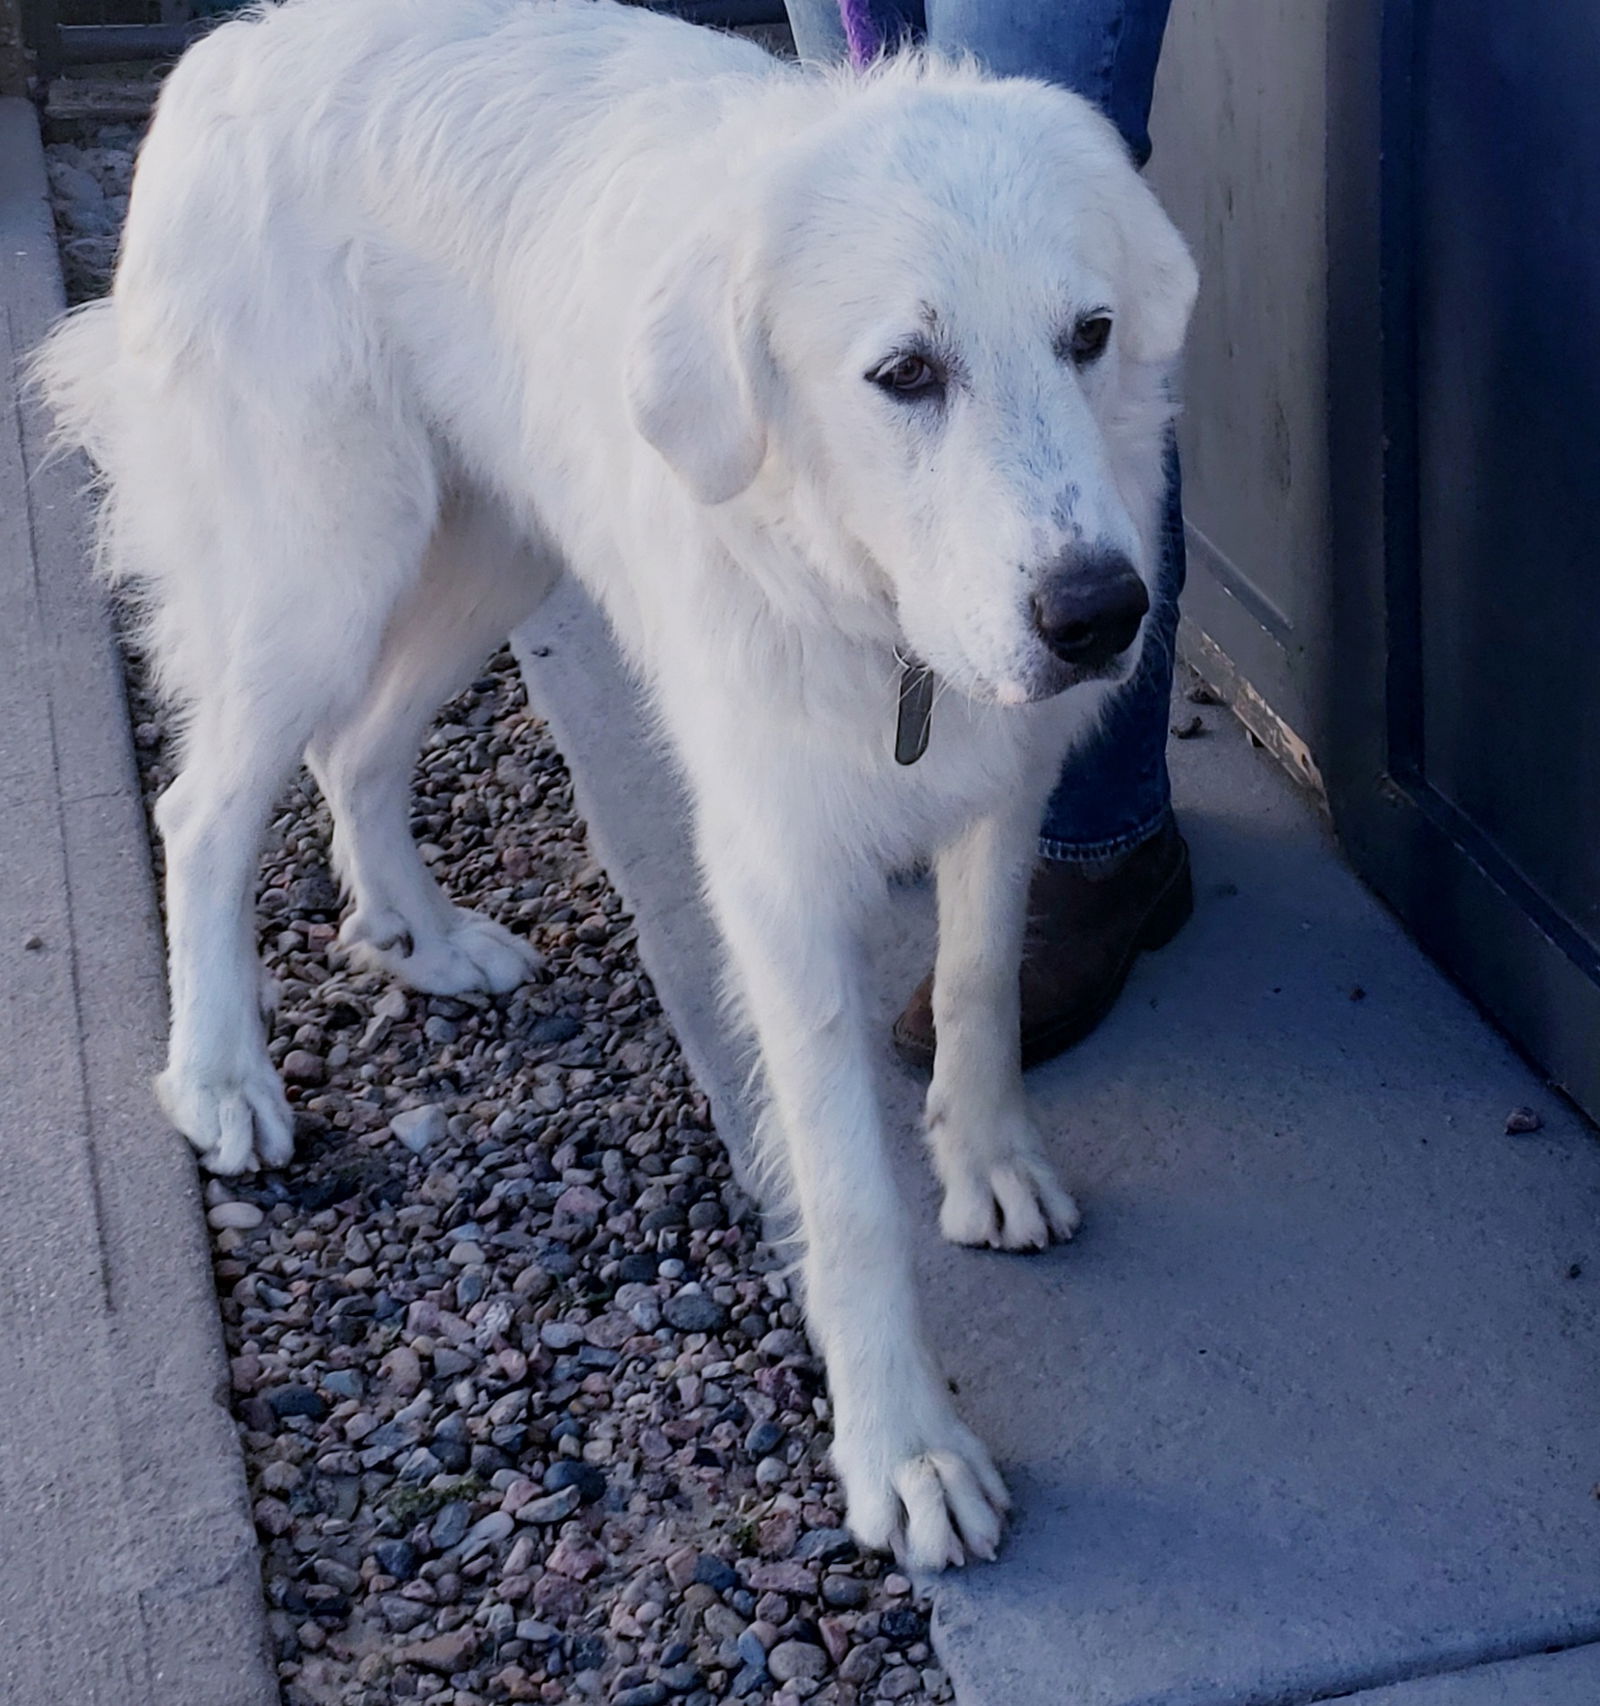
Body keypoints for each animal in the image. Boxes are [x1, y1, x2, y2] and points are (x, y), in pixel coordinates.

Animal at [37, 0, 1194, 1569]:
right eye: (905, 373)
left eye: (1090, 336)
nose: (1099, 615)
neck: (865, 591)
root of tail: (223, 52)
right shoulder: (775, 874)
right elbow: (849, 1201)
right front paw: (905, 1449)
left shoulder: (1007, 780)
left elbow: (979, 987)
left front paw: (986, 1155)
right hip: (324, 571)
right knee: (203, 810)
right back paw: (220, 1073)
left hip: (492, 546)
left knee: (358, 749)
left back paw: (421, 937)